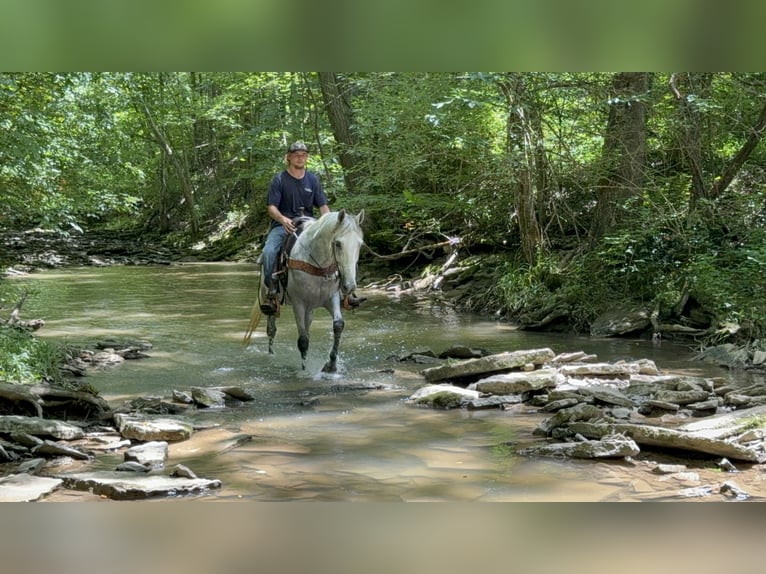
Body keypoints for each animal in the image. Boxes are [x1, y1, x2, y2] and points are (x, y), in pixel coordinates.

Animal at [243, 209, 365, 373]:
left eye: (359, 244)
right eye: (338, 244)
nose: (349, 286)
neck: (317, 264)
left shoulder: (331, 298)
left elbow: (338, 325)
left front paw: (331, 365)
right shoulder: (299, 304)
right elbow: (303, 340)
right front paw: (304, 370)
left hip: (310, 309)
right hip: (268, 297)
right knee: (271, 329)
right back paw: (271, 355)